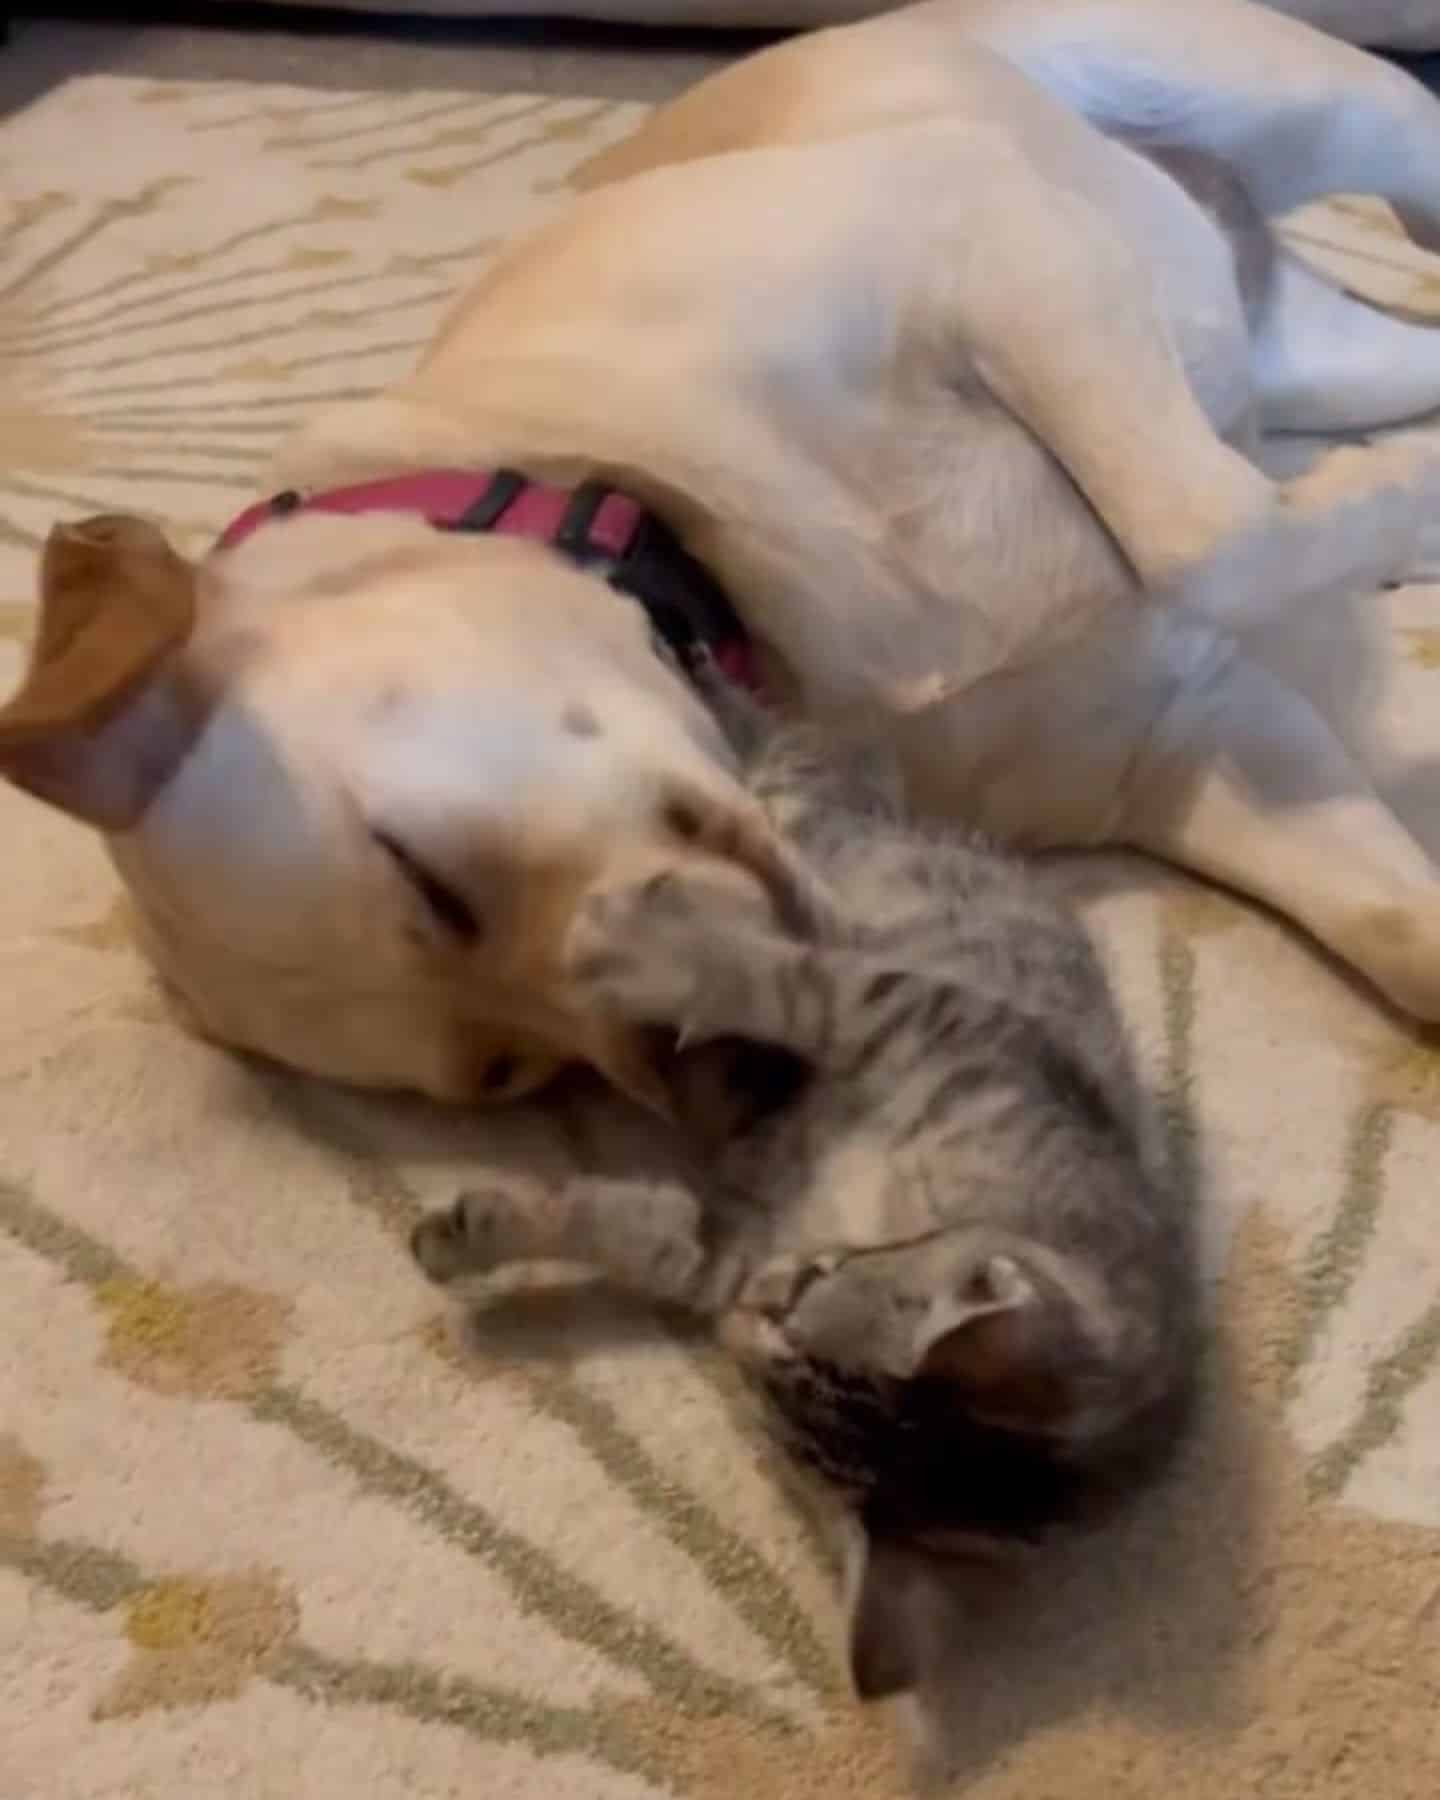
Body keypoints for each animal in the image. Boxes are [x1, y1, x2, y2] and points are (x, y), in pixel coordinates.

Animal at [2, 0, 1440, 1101]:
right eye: (509, 1079)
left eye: (426, 878)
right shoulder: (1188, 747)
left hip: (1306, 111)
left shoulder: (978, 236)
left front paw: (1393, 503)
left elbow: (1210, 532)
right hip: (1317, 354)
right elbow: (1396, 924)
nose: (719, 1072)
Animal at [410, 687, 1195, 1699]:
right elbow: (800, 983)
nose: (762, 1301)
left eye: (786, 1363)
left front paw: (477, 1230)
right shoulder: (937, 1022)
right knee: (797, 771)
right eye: (820, 1278)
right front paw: (652, 950)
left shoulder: (722, 1242)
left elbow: (627, 1225)